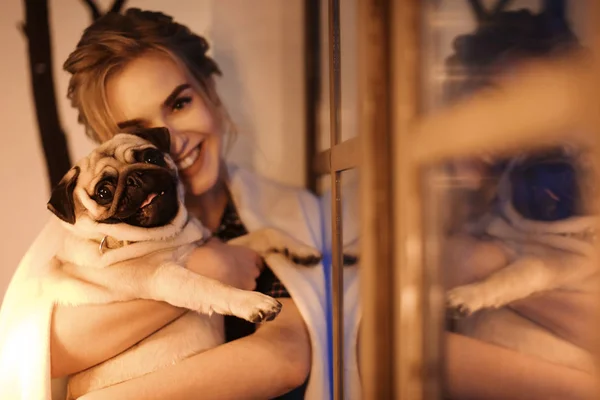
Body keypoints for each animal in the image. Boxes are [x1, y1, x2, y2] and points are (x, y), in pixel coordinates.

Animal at [44, 127, 322, 396]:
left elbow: (265, 232)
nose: (135, 178)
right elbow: (211, 286)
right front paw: (253, 302)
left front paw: (302, 249)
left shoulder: (210, 243)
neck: (168, 235)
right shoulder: (164, 276)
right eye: (103, 192)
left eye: (151, 157)